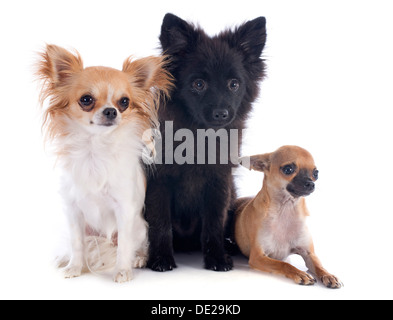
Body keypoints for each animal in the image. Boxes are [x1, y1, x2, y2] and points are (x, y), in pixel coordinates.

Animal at [36, 45, 171, 282]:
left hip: (140, 227)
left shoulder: (124, 209)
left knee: (134, 244)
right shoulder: (73, 211)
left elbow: (124, 245)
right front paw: (74, 267)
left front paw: (123, 271)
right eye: (86, 99)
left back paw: (139, 258)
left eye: (124, 102)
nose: (111, 111)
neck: (95, 149)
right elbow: (77, 243)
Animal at [144, 13, 266, 272]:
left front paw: (217, 258)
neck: (200, 136)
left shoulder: (219, 181)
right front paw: (161, 259)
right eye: (198, 84)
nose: (221, 113)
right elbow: (160, 223)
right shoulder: (159, 181)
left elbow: (213, 224)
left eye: (234, 84)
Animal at [234, 146, 342, 288]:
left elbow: (319, 266)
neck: (285, 210)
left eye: (316, 173)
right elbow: (283, 264)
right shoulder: (258, 256)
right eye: (288, 169)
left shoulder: (309, 253)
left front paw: (328, 275)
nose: (311, 184)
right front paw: (300, 273)